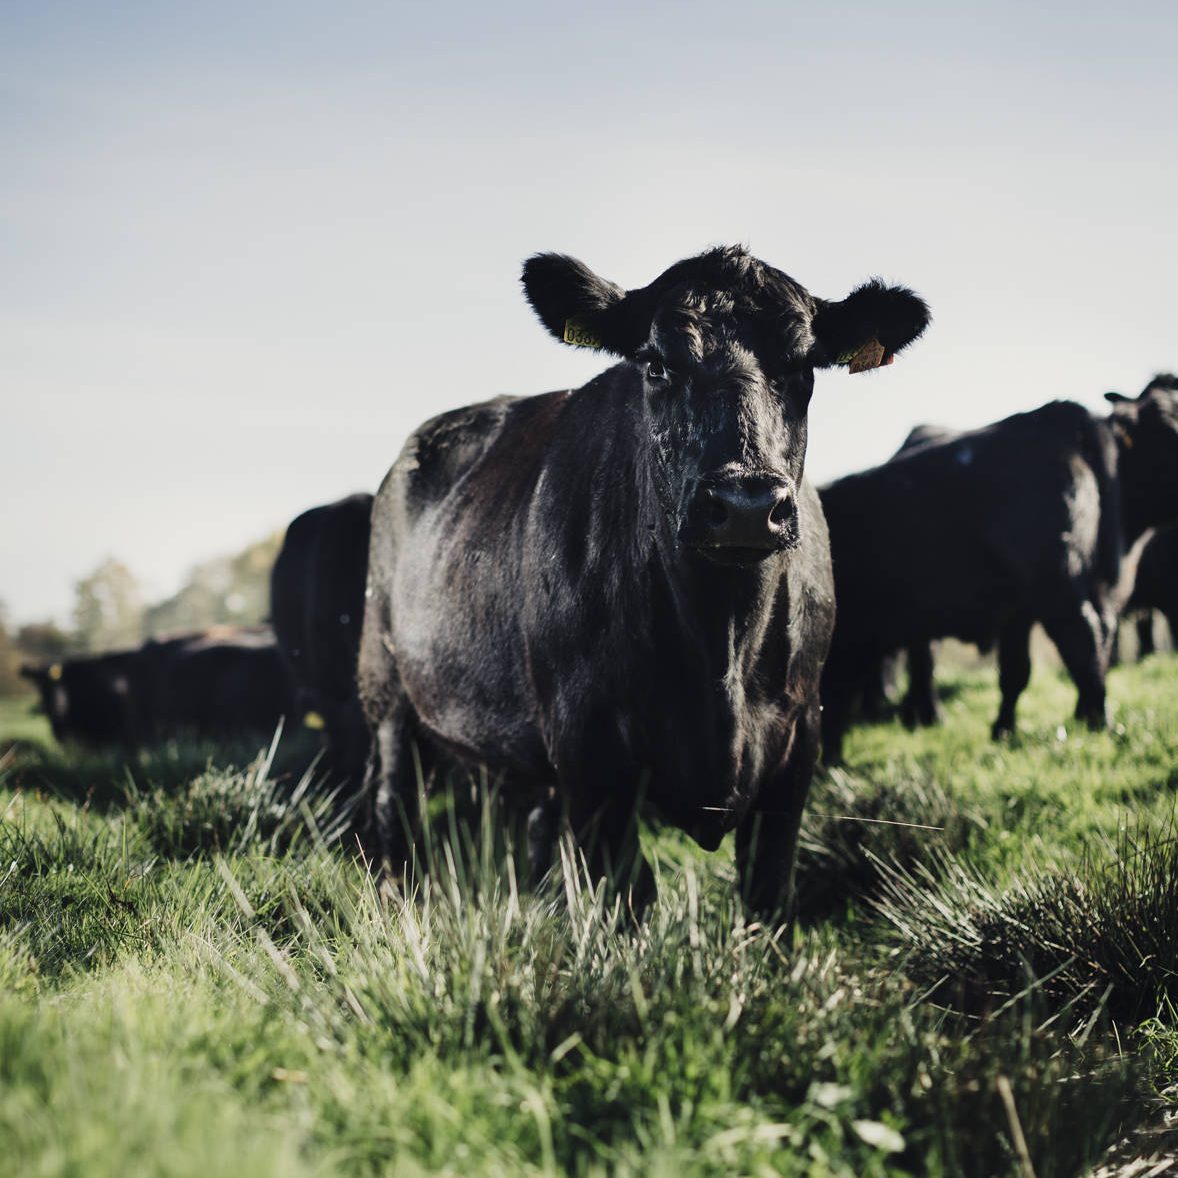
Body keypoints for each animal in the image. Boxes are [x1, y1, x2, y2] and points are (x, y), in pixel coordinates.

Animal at [358, 246, 930, 919]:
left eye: (803, 366)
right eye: (656, 364)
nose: (745, 503)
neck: (722, 648)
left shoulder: (797, 752)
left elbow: (767, 896)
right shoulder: (590, 757)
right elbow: (627, 895)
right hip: (385, 689)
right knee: (395, 801)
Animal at [820, 375, 1178, 760]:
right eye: (1168, 429)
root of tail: (1057, 416)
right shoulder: (1018, 610)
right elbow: (1015, 671)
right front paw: (1003, 730)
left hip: (1055, 586)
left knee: (1083, 636)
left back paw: (1096, 719)